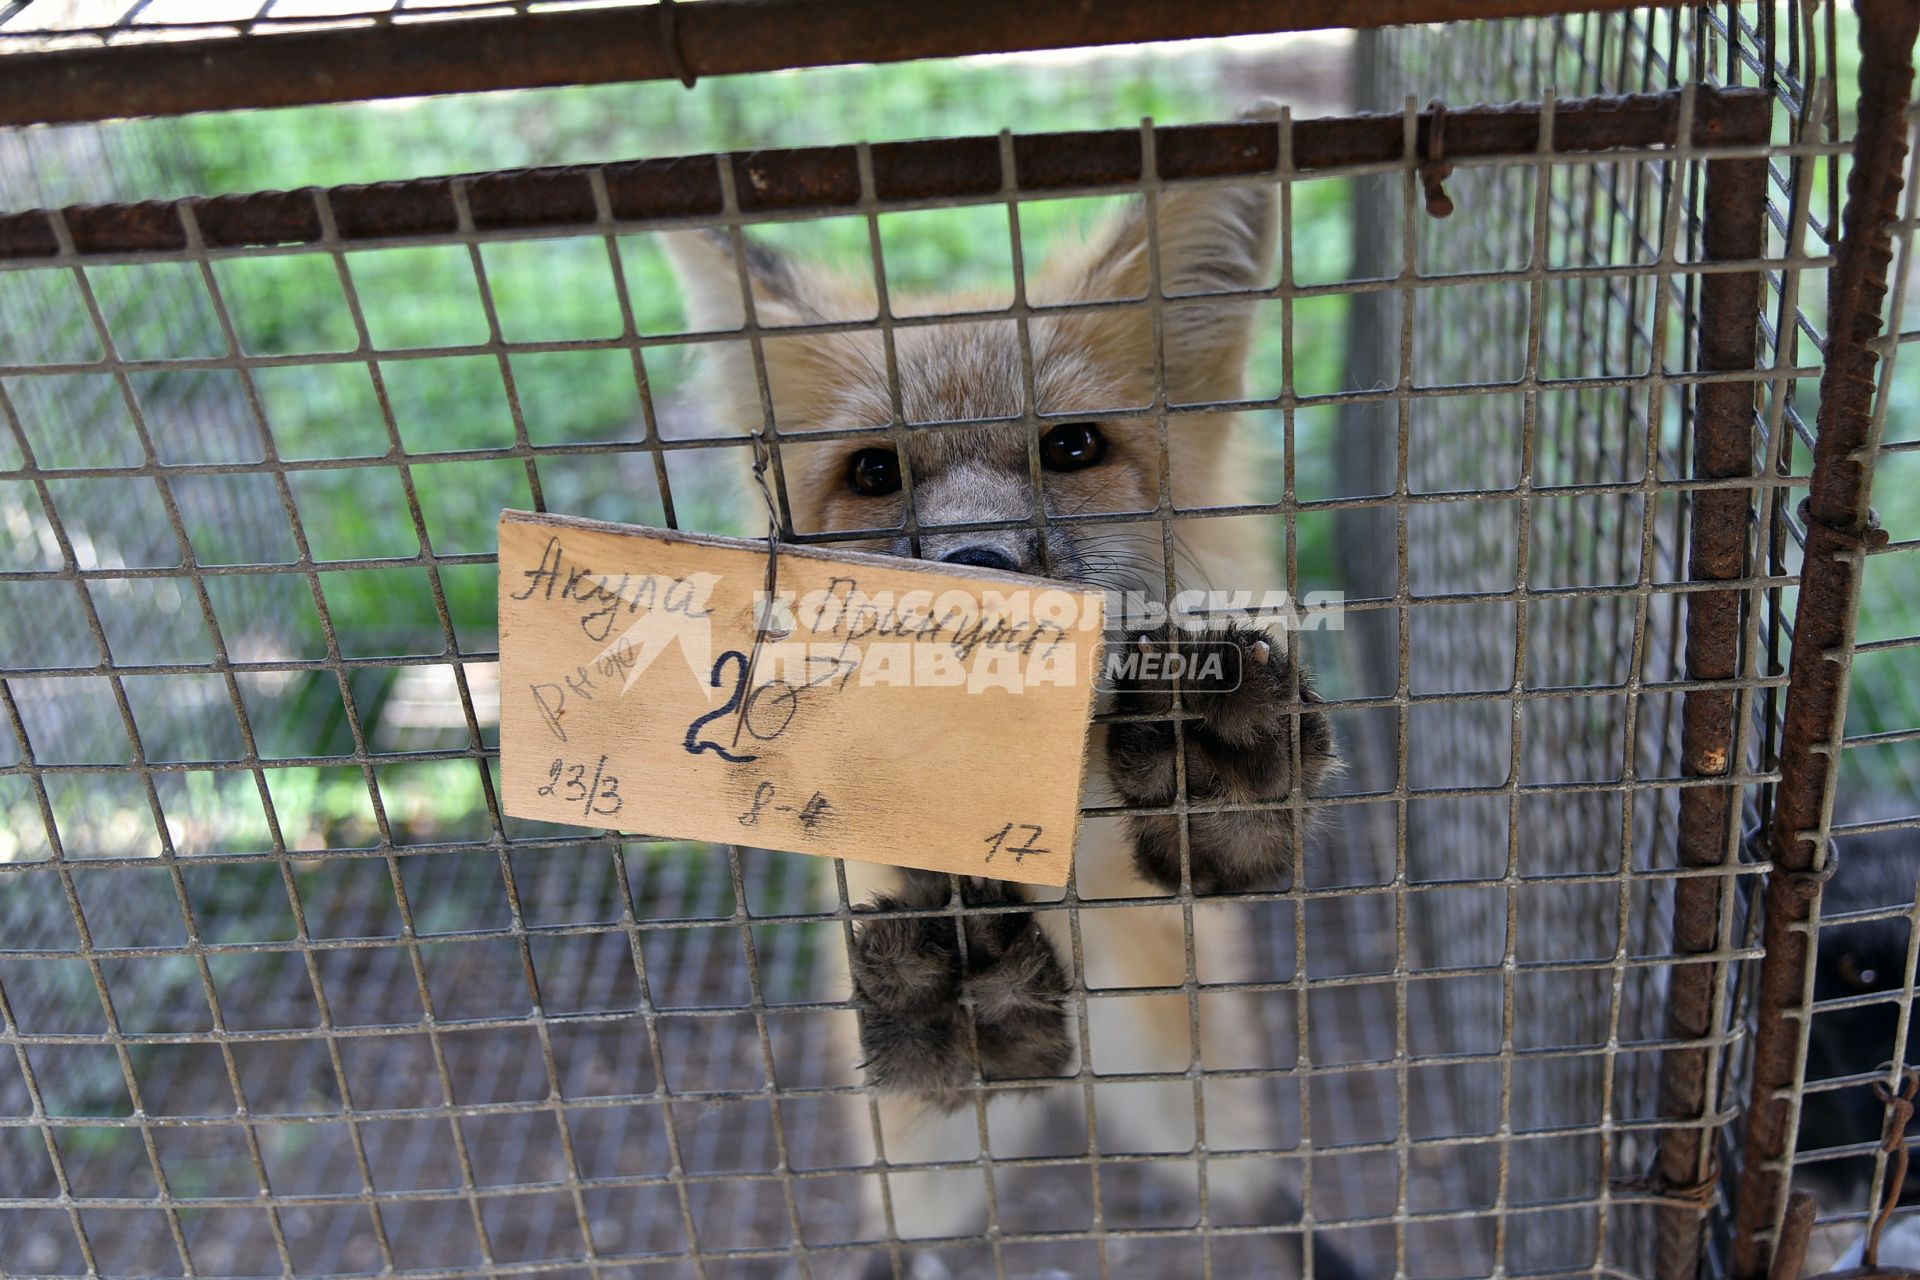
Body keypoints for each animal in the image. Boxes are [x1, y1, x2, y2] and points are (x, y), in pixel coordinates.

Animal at [668, 142, 1344, 1280]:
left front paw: (1219, 772)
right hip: (928, 1163)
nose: (978, 570)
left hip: (1202, 1102)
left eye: (1070, 448)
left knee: (1249, 1193)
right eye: (875, 470)